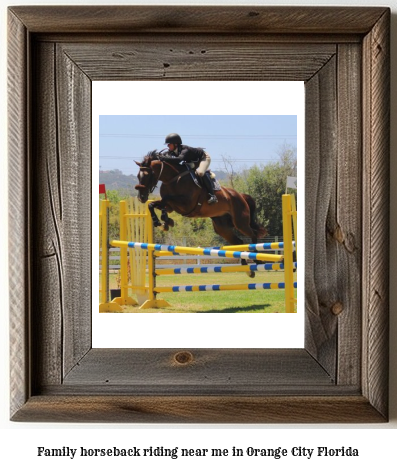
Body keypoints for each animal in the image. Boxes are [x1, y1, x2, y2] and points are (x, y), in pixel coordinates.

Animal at [135, 151, 268, 276]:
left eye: (147, 175)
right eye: (138, 176)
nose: (141, 197)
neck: (172, 179)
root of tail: (241, 195)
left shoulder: (186, 204)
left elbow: (166, 199)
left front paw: (164, 222)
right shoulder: (172, 206)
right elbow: (154, 205)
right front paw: (163, 222)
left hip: (240, 222)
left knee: (253, 234)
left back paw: (257, 260)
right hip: (222, 228)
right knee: (239, 242)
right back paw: (247, 268)